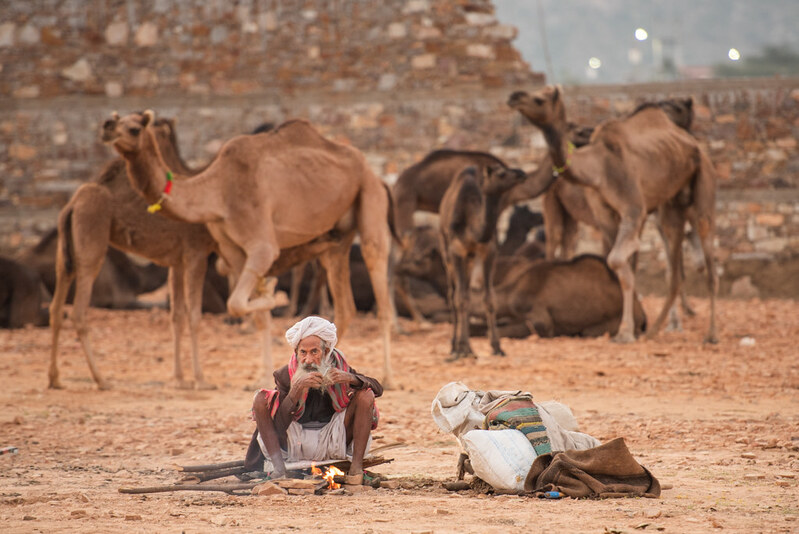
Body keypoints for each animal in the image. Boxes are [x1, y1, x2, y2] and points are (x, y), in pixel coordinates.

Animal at [103, 113, 396, 390]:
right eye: (116, 118)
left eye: (135, 128)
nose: (107, 127)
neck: (217, 192)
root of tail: (376, 175)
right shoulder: (232, 250)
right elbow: (250, 312)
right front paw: (263, 374)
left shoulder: (262, 246)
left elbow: (236, 303)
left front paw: (270, 292)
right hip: (336, 240)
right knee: (344, 308)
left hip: (369, 198)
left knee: (378, 281)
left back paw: (387, 377)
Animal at [440, 165, 528, 362]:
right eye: (501, 173)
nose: (521, 173)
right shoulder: (456, 251)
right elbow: (460, 299)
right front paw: (463, 348)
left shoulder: (489, 251)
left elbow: (489, 298)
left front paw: (497, 347)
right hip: (446, 251)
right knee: (452, 295)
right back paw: (454, 346)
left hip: (471, 259)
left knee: (465, 291)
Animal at [510, 84, 720, 344]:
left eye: (539, 99)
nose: (514, 96)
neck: (599, 168)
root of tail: (695, 146)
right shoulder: (606, 215)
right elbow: (617, 264)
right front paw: (627, 326)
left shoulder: (633, 209)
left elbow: (618, 260)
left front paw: (626, 331)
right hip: (671, 205)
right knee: (675, 270)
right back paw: (655, 330)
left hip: (703, 186)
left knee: (707, 260)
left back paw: (711, 334)